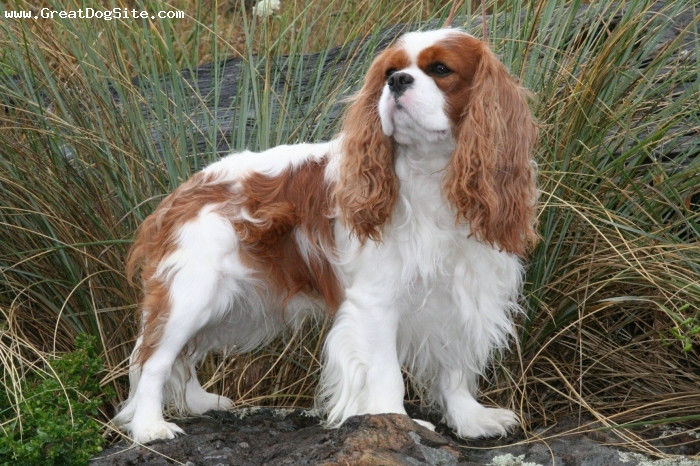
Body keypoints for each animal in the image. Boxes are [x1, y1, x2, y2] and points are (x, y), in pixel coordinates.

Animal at [115, 27, 540, 442]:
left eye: (440, 69)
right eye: (389, 72)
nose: (398, 81)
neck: (432, 173)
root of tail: (186, 189)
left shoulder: (462, 289)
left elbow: (454, 367)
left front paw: (471, 419)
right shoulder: (375, 301)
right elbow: (386, 373)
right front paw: (396, 422)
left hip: (227, 304)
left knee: (184, 355)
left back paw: (199, 402)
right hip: (193, 292)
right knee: (153, 359)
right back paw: (150, 426)